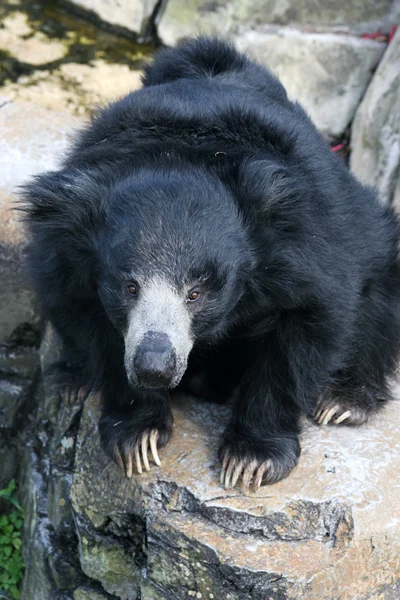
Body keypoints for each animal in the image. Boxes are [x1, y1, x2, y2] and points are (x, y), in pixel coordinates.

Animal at [21, 37, 400, 492]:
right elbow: (91, 322)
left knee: (378, 294)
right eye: (129, 287)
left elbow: (305, 329)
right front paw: (138, 436)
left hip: (370, 237)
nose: (154, 366)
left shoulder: (304, 250)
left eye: (196, 293)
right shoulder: (64, 252)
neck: (180, 154)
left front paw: (250, 460)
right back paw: (72, 380)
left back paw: (343, 400)